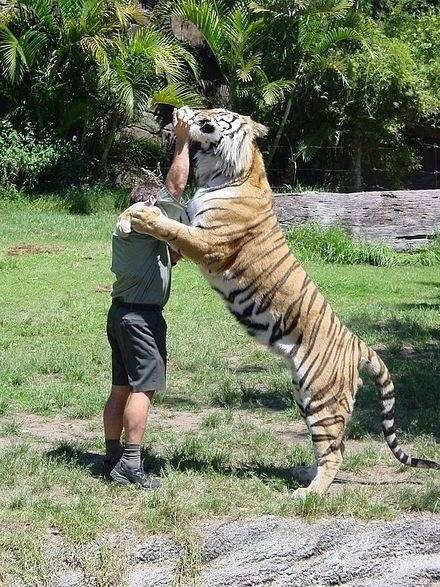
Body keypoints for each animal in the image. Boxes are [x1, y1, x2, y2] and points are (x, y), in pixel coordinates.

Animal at [115, 105, 438, 496]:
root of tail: (359, 343)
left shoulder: (207, 243)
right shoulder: (191, 228)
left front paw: (141, 216)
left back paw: (309, 493)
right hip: (303, 394)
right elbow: (164, 223)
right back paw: (305, 475)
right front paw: (127, 218)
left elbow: (167, 226)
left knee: (334, 451)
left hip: (322, 396)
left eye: (216, 113)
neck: (222, 171)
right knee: (335, 445)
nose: (188, 109)